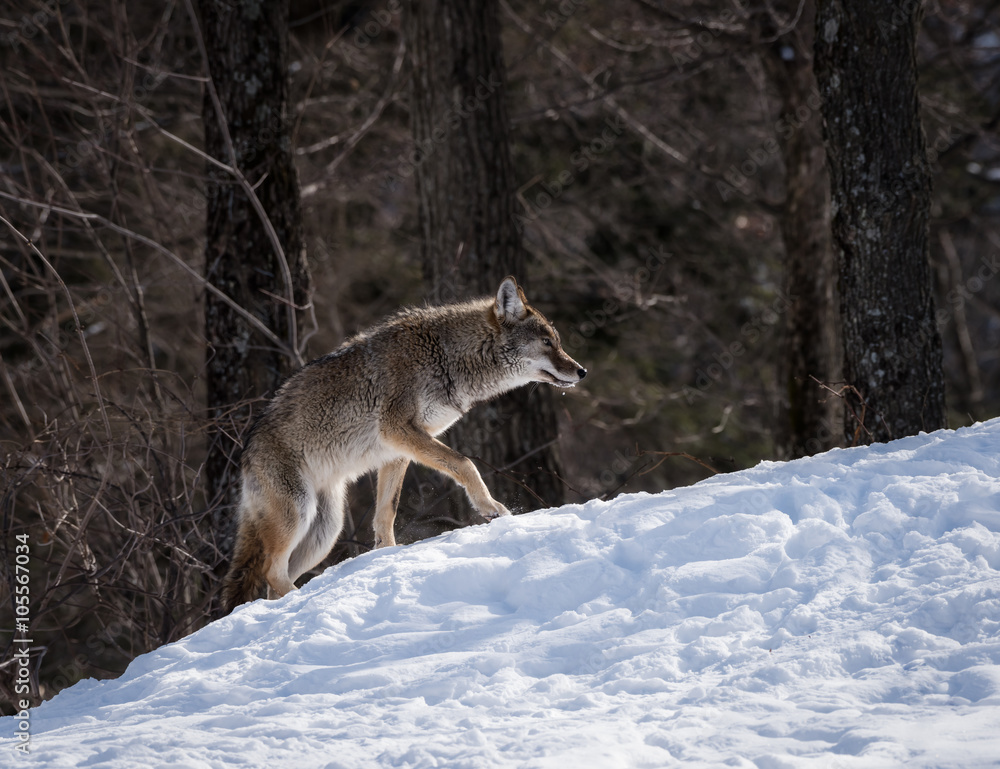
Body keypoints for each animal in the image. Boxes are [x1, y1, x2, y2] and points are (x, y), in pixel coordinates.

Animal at [221, 276, 586, 611]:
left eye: (557, 342)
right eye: (547, 342)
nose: (582, 371)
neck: (446, 356)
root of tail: (245, 452)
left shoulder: (397, 451)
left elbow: (386, 514)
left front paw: (386, 556)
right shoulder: (399, 430)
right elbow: (465, 463)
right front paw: (491, 508)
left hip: (326, 530)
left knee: (276, 578)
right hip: (299, 513)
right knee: (270, 571)